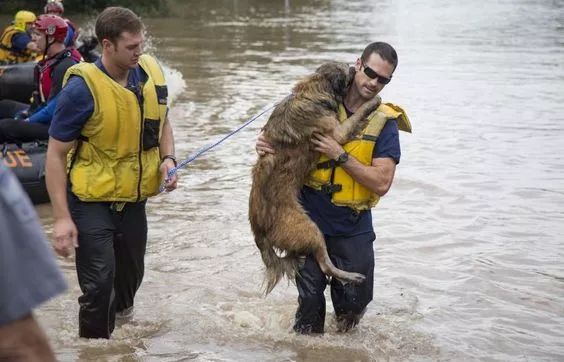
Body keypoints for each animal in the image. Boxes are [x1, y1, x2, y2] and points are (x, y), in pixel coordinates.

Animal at [249, 62, 382, 294]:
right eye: (347, 70)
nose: (353, 67)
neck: (312, 93)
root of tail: (259, 232)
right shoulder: (336, 132)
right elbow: (355, 118)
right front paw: (372, 102)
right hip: (309, 229)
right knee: (325, 264)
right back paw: (352, 276)